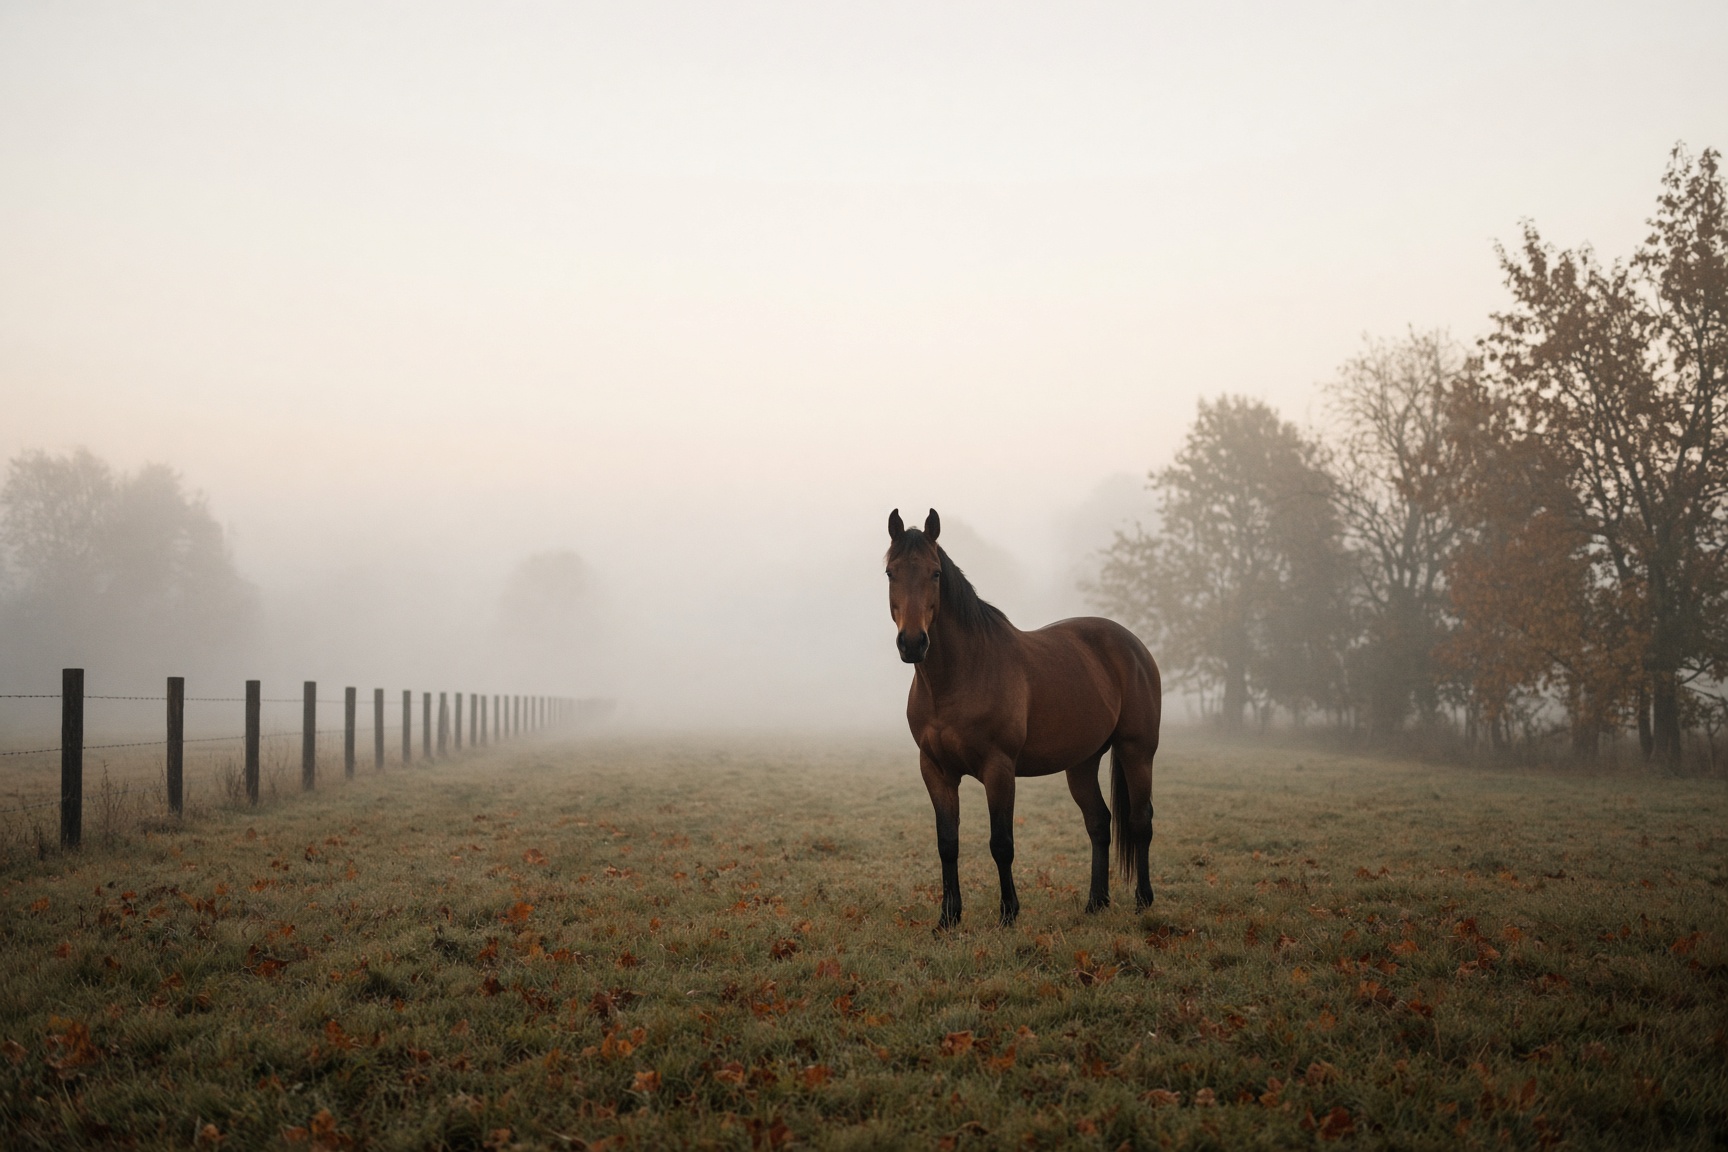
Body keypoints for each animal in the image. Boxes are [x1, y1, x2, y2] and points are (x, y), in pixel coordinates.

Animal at [885, 508, 1161, 929]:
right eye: (890, 573)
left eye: (935, 573)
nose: (913, 643)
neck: (960, 675)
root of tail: (1134, 646)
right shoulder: (935, 770)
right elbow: (947, 843)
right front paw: (948, 918)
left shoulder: (999, 769)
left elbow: (1001, 843)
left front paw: (1008, 914)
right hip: (1082, 763)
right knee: (1099, 824)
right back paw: (1095, 903)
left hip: (1137, 752)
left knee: (1140, 821)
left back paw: (1143, 900)